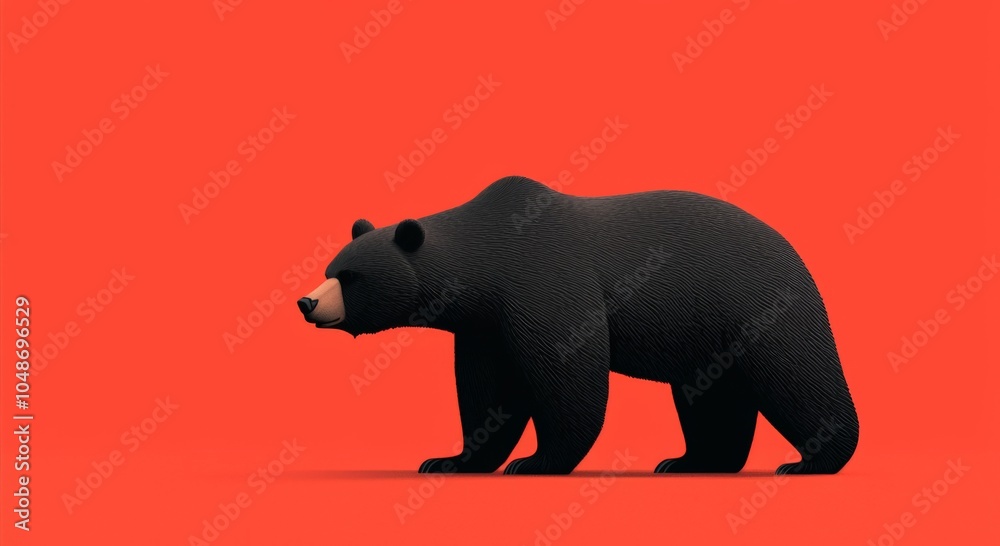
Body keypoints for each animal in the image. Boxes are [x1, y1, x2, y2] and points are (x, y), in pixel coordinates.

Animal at [297, 176, 859, 475]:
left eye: (351, 276)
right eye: (330, 268)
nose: (306, 302)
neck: (485, 264)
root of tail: (791, 249)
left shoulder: (544, 279)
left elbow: (565, 375)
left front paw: (535, 460)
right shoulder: (484, 325)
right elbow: (486, 392)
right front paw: (450, 459)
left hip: (756, 302)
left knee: (797, 375)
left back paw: (810, 460)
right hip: (708, 331)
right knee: (713, 394)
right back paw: (693, 460)